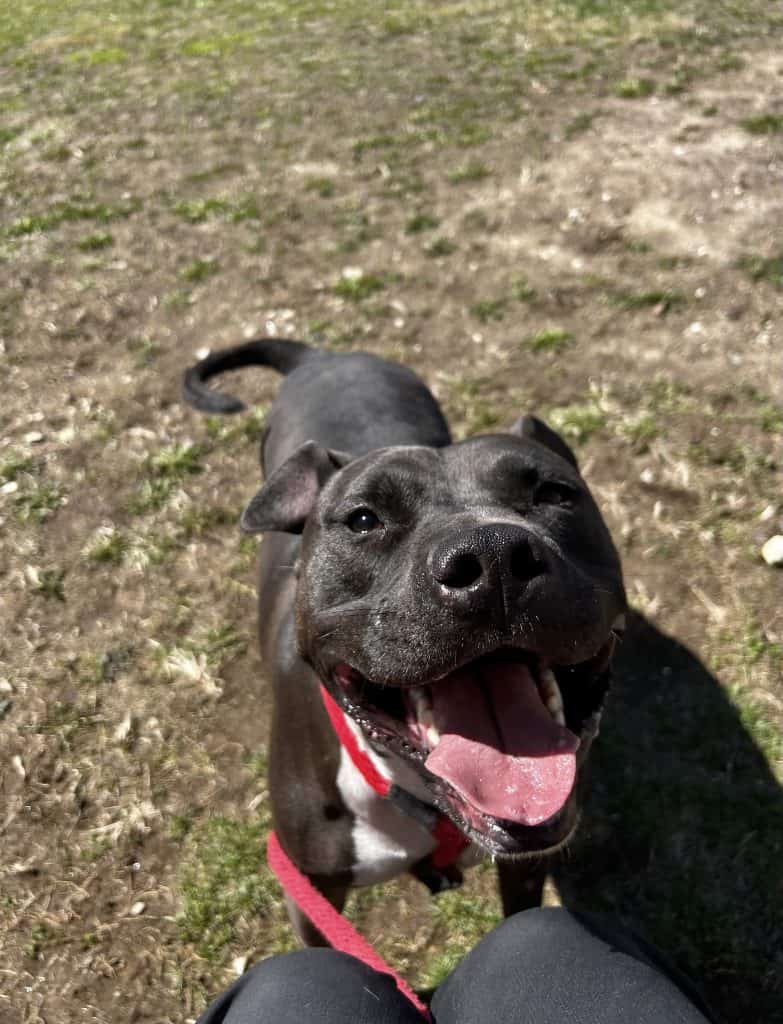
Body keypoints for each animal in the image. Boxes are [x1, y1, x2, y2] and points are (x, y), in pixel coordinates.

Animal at [183, 338, 626, 944]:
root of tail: (322, 355)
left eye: (555, 494)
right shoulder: (312, 894)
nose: (491, 555)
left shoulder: (528, 861)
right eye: (362, 519)